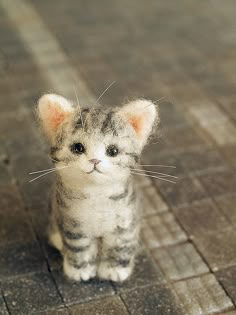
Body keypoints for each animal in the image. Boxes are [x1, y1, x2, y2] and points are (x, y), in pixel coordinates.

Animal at [37, 92, 159, 282]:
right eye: (78, 148)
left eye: (113, 151)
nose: (95, 160)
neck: (96, 196)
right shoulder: (73, 225)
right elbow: (79, 248)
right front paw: (79, 271)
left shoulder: (125, 223)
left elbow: (119, 247)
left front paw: (114, 271)